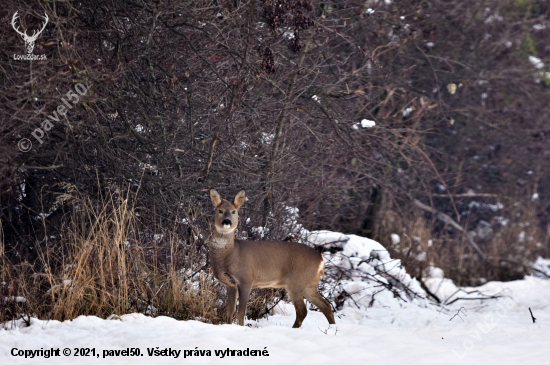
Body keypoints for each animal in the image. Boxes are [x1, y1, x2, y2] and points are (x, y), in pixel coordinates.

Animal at [208, 190, 334, 328]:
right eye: (220, 210)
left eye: (233, 211)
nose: (227, 221)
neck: (231, 253)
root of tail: (320, 259)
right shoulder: (230, 284)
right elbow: (229, 310)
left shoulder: (246, 279)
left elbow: (241, 311)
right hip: (309, 284)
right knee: (326, 305)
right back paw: (332, 327)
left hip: (296, 282)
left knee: (302, 310)